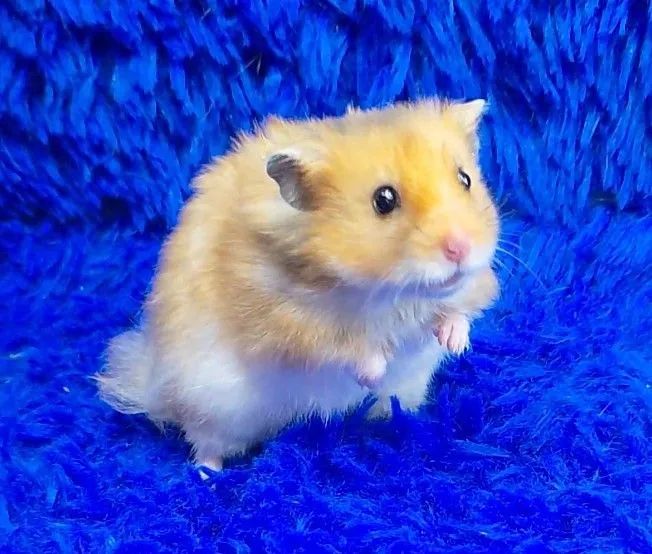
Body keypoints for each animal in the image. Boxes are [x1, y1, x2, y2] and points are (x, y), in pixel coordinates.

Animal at [95, 98, 500, 472]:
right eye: (383, 200)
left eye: (465, 179)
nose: (461, 247)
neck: (387, 291)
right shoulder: (286, 320)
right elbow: (340, 345)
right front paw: (375, 370)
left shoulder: (465, 288)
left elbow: (457, 310)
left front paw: (455, 343)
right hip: (212, 409)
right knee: (204, 443)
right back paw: (208, 475)